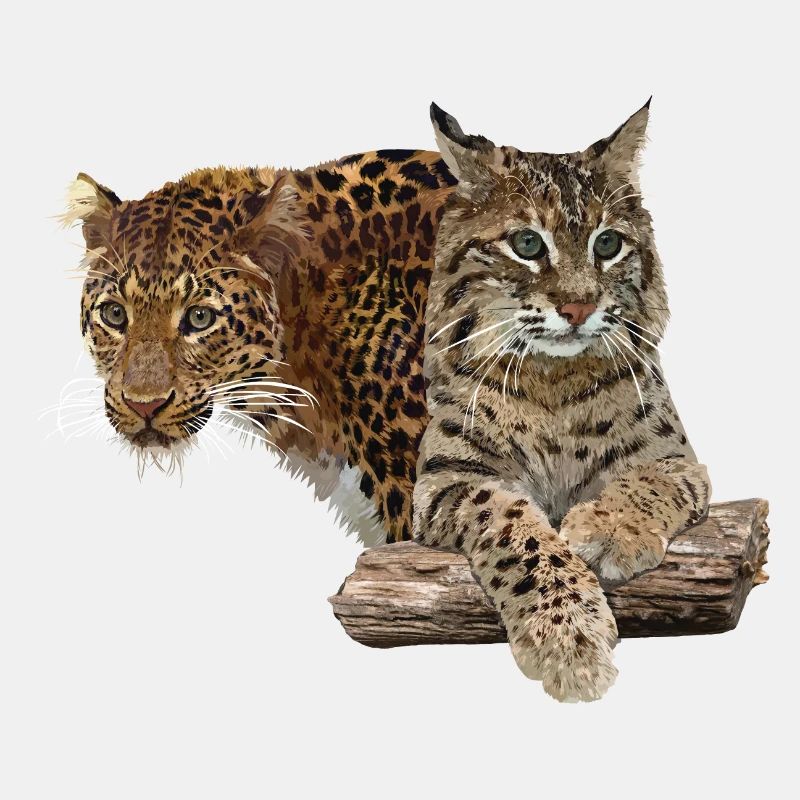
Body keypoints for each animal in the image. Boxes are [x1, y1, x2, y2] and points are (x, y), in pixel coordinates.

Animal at [412, 101, 711, 701]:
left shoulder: (679, 461)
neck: (553, 377)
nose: (578, 308)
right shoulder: (445, 479)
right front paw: (568, 640)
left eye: (607, 245)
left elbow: (648, 480)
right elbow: (512, 525)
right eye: (528, 245)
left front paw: (611, 529)